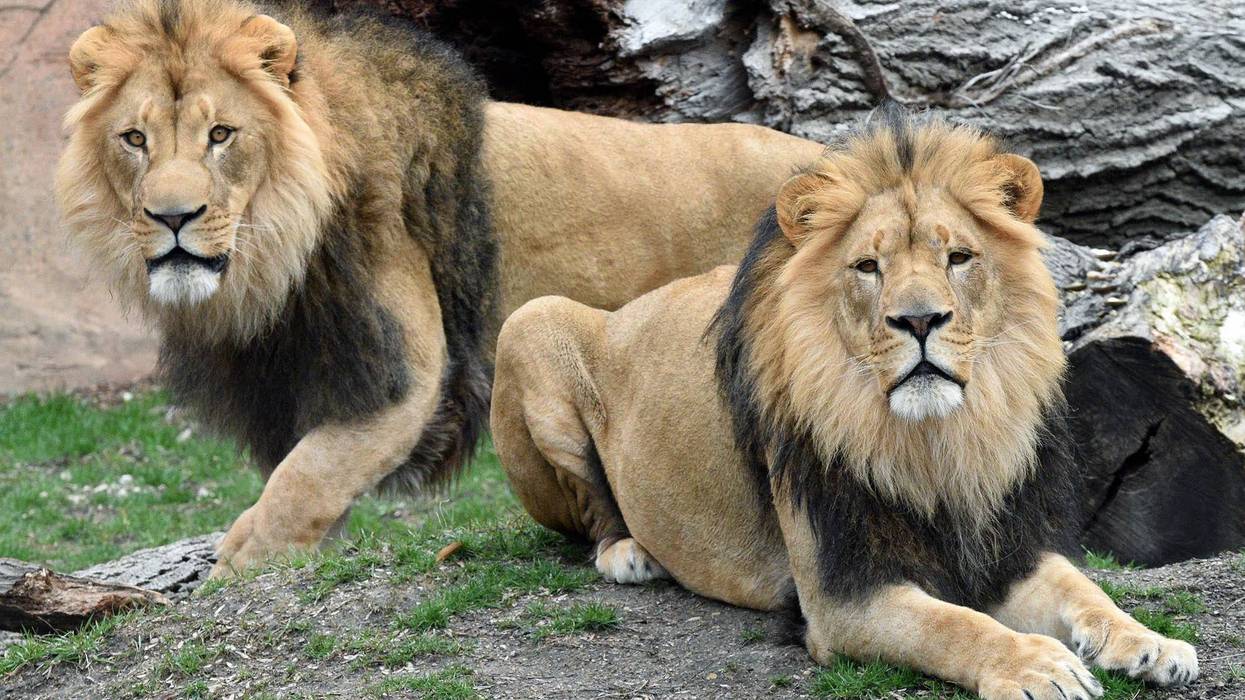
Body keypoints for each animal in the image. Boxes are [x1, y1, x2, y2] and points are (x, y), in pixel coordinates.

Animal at [56, 0, 822, 577]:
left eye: (221, 134)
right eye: (134, 139)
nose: (172, 217)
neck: (270, 265)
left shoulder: (403, 374)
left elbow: (306, 477)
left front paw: (237, 563)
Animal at [491, 108, 1199, 698]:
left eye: (958, 257)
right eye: (867, 266)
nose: (920, 320)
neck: (932, 441)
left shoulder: (1007, 544)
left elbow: (1087, 591)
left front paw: (1150, 643)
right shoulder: (841, 596)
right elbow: (955, 626)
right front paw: (1035, 666)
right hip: (528, 322)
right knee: (589, 512)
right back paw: (629, 553)